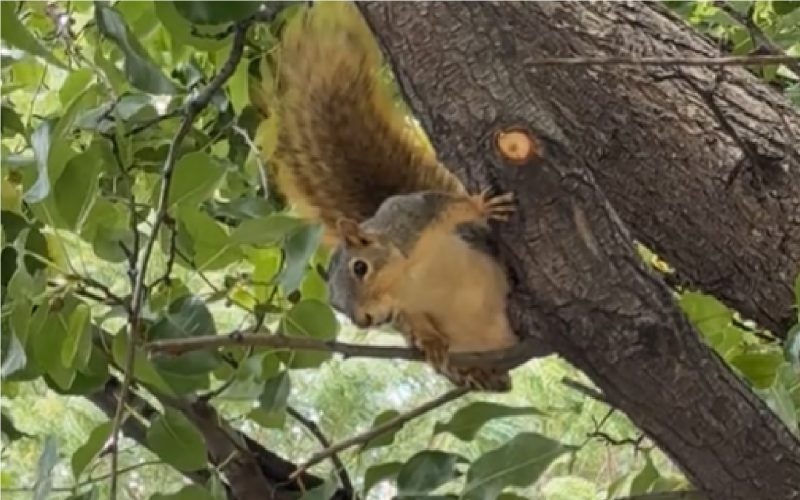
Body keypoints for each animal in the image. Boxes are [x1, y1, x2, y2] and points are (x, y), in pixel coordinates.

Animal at [253, 2, 520, 390]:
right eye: (336, 304)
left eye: (360, 267)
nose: (363, 319)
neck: (406, 278)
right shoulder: (404, 311)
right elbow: (415, 323)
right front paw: (430, 342)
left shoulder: (416, 216)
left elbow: (450, 207)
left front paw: (480, 205)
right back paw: (476, 373)